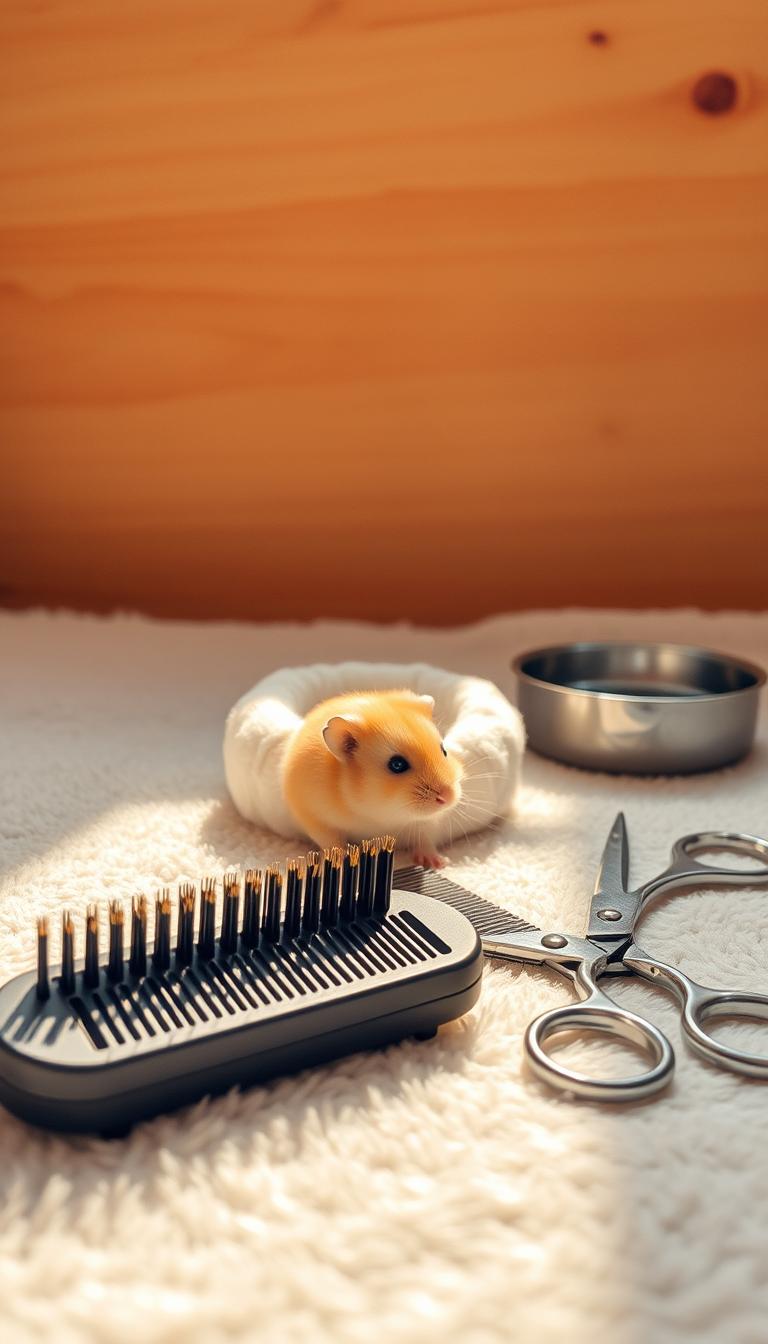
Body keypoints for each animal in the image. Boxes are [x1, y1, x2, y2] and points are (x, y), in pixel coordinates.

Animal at [281, 688, 463, 868]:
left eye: (444, 751)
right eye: (397, 764)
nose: (448, 798)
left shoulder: (428, 822)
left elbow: (425, 838)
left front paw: (438, 862)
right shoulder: (315, 818)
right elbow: (333, 844)